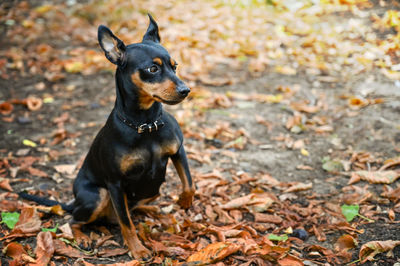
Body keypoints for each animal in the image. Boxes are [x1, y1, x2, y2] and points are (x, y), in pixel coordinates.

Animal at [20, 14, 195, 260]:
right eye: (152, 69)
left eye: (175, 66)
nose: (185, 90)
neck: (145, 124)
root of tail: (73, 203)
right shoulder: (115, 184)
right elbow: (126, 224)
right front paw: (138, 250)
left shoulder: (178, 151)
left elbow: (189, 184)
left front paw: (184, 201)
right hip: (98, 196)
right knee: (76, 220)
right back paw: (82, 237)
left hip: (153, 188)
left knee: (129, 210)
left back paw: (151, 209)